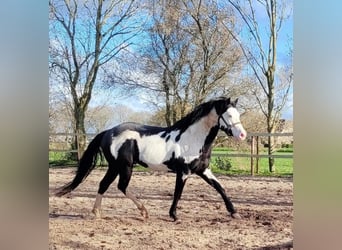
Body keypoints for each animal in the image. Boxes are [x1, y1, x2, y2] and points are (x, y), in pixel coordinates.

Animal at [56, 97, 248, 221]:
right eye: (229, 115)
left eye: (238, 115)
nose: (242, 135)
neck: (193, 139)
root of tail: (108, 131)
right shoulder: (183, 172)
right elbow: (178, 193)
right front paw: (174, 215)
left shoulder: (203, 170)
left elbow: (220, 188)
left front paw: (234, 212)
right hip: (124, 166)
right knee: (121, 186)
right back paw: (143, 211)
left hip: (115, 167)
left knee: (104, 185)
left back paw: (97, 212)